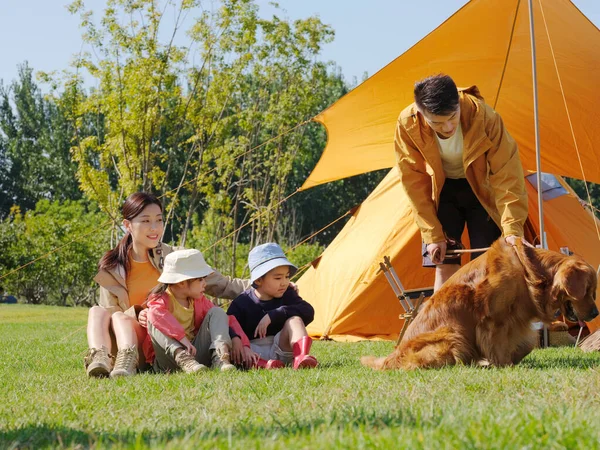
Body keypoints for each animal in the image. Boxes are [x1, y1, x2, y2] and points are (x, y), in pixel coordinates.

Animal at [360, 239, 600, 370]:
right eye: (588, 291)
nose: (596, 312)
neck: (528, 273)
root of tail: (390, 358)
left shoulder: (517, 322)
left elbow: (526, 344)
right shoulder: (493, 320)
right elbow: (498, 346)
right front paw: (503, 365)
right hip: (452, 334)